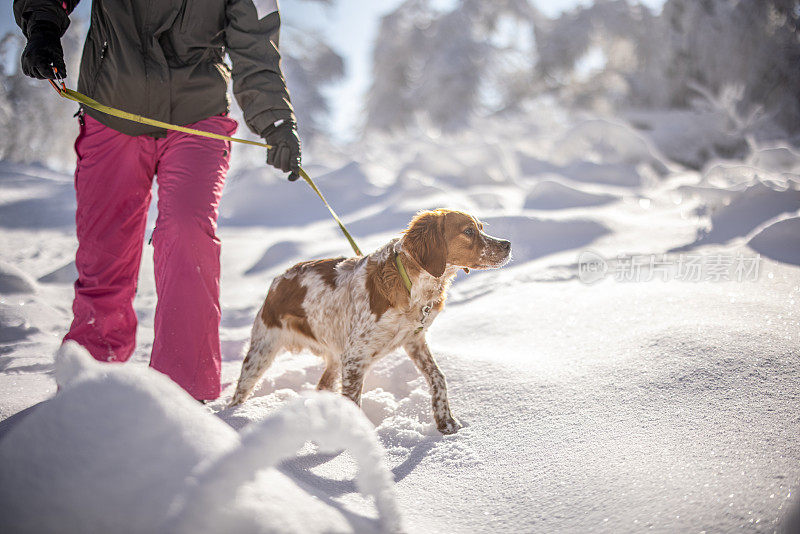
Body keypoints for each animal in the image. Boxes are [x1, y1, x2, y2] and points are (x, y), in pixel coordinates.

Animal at [228, 209, 510, 436]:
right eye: (468, 231)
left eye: (481, 227)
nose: (507, 244)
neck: (413, 285)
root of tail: (278, 279)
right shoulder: (355, 358)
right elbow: (353, 401)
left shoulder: (413, 340)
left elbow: (438, 378)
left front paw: (446, 422)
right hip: (262, 351)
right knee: (241, 391)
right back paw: (233, 418)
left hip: (334, 357)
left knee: (322, 386)